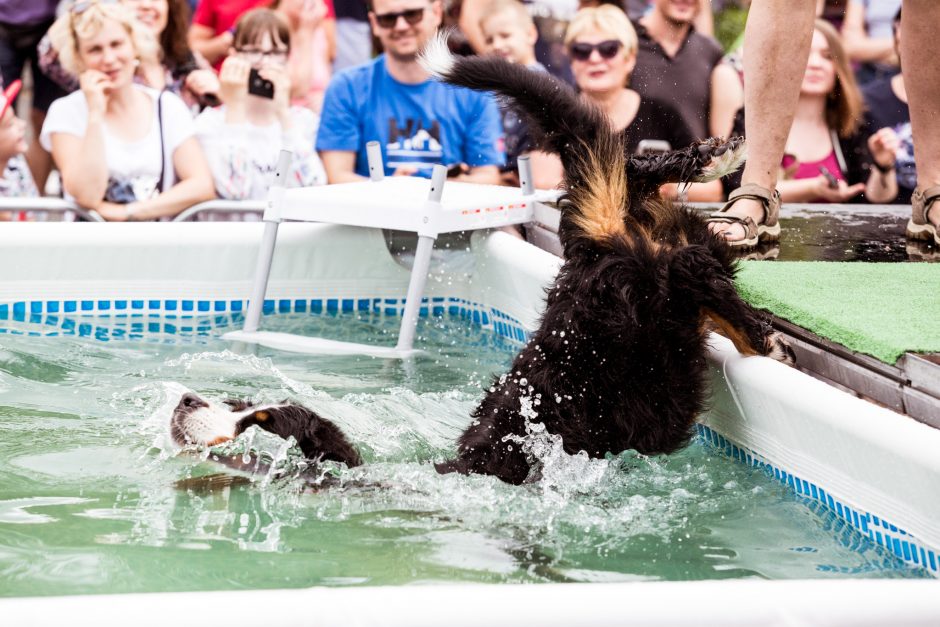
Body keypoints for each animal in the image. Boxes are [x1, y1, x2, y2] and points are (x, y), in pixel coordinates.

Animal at [418, 33, 792, 486]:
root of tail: (596, 244)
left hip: (658, 293)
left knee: (695, 271)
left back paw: (766, 342)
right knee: (644, 180)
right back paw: (715, 158)